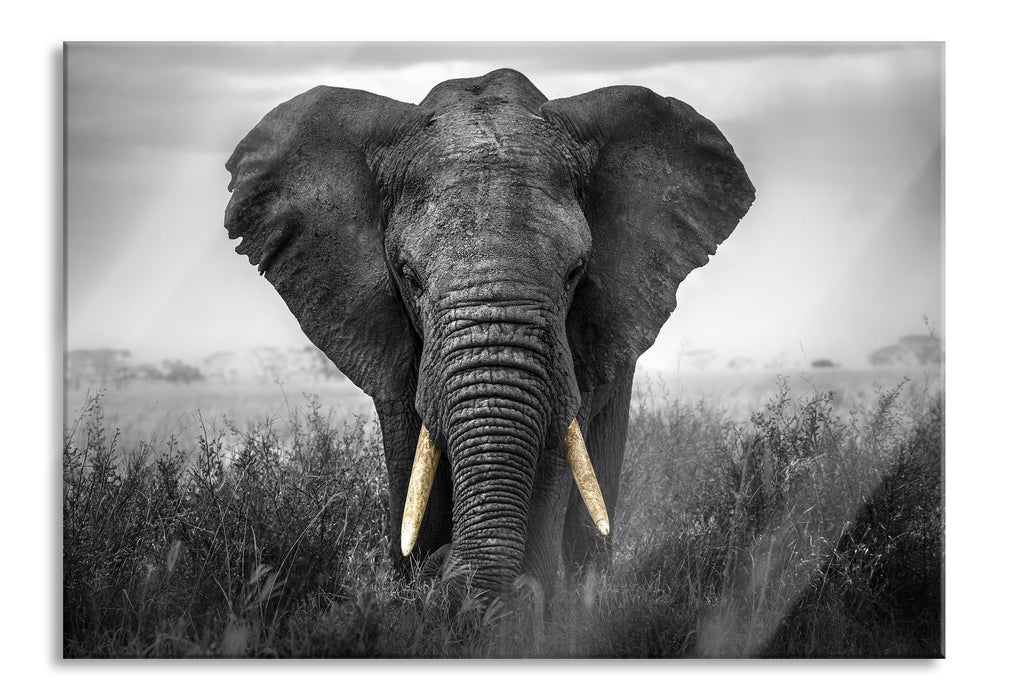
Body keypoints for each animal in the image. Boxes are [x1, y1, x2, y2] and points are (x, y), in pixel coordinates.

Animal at [224, 68, 754, 602]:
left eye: (575, 274)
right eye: (409, 277)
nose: (445, 569)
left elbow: (556, 453)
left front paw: (525, 604)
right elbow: (409, 455)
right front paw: (417, 589)